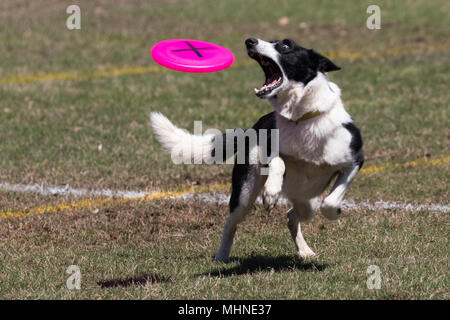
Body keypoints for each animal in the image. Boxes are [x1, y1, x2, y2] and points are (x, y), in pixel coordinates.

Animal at [151, 37, 362, 262]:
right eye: (271, 40)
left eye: (286, 45)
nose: (250, 41)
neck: (301, 118)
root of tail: (251, 128)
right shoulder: (269, 148)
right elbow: (279, 161)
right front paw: (270, 193)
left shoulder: (355, 160)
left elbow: (330, 202)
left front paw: (336, 212)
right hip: (246, 193)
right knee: (232, 221)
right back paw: (222, 256)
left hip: (307, 201)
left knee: (292, 215)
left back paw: (305, 250)